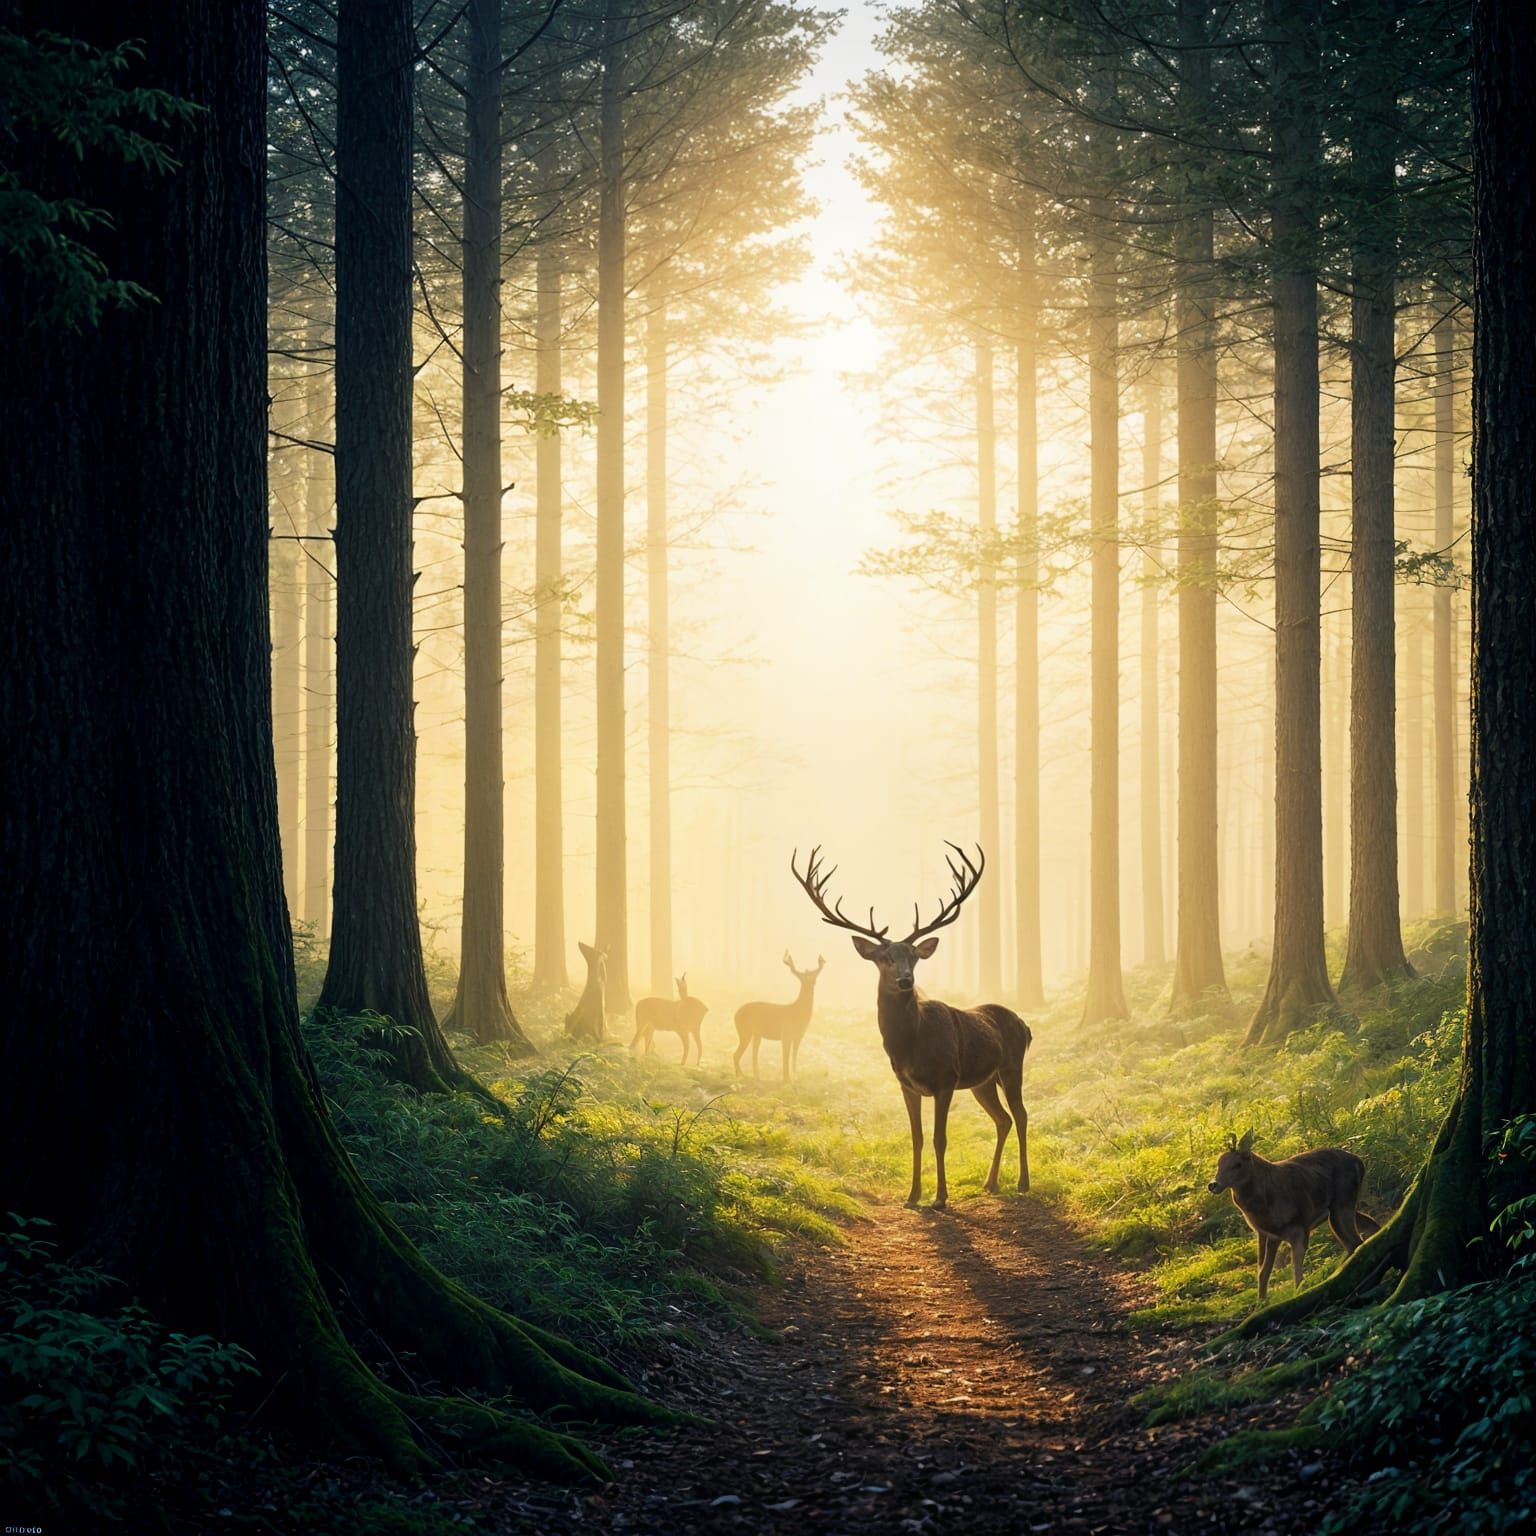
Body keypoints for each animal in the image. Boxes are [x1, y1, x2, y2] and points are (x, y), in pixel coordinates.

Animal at [732, 952, 826, 1081]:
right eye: (801, 978)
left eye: (814, 976)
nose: (811, 982)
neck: (799, 1012)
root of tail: (735, 1014)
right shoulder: (785, 1033)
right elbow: (785, 1057)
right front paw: (787, 1079)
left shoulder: (799, 1036)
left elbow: (794, 1057)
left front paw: (795, 1077)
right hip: (744, 1031)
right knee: (736, 1054)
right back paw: (740, 1076)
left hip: (756, 1034)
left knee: (752, 1054)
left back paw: (756, 1077)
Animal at [791, 844, 1031, 1209]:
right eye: (885, 957)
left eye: (915, 956)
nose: (906, 980)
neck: (910, 1047)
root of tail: (1026, 1026)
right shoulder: (906, 1084)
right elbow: (916, 1138)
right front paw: (912, 1196)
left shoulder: (946, 1079)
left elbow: (939, 1138)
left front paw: (940, 1198)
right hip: (982, 1082)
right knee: (1002, 1119)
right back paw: (990, 1183)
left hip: (1011, 1066)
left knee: (1021, 1115)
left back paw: (1022, 1183)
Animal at [1208, 1130, 1382, 1303]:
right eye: (1219, 1163)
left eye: (1237, 1164)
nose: (1213, 1184)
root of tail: (1359, 1162)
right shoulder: (1268, 1234)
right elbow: (1263, 1272)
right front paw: (1261, 1303)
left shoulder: (1299, 1225)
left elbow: (1296, 1272)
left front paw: (1297, 1295)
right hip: (1339, 1209)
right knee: (1365, 1230)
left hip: (1342, 1203)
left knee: (1355, 1242)